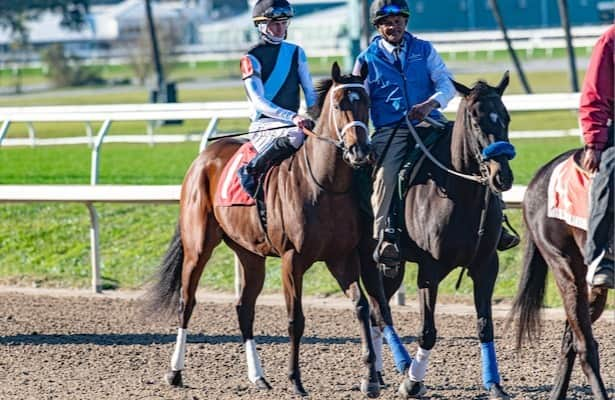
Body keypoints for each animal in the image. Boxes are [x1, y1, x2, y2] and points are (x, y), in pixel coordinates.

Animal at [146, 62, 384, 396]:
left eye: (367, 103)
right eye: (339, 105)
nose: (359, 151)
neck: (324, 185)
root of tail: (203, 158)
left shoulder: (341, 258)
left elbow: (361, 307)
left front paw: (371, 377)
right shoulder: (291, 260)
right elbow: (295, 318)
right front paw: (295, 379)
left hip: (250, 254)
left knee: (244, 308)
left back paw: (258, 376)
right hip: (198, 247)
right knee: (186, 302)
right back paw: (175, 372)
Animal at [360, 72, 516, 400]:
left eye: (506, 117)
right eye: (475, 120)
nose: (503, 177)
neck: (462, 194)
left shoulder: (486, 266)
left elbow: (485, 326)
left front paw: (494, 384)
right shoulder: (429, 271)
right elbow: (428, 331)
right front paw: (412, 382)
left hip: (392, 268)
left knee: (378, 313)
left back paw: (377, 374)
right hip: (368, 261)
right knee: (380, 312)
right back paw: (391, 371)